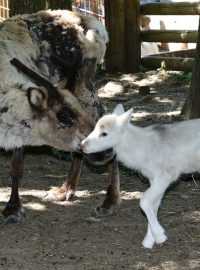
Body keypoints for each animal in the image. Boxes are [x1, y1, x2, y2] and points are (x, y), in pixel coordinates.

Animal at [80, 104, 200, 248]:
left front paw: (160, 236)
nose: (82, 145)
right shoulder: (153, 178)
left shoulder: (167, 174)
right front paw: (149, 241)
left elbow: (145, 200)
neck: (143, 148)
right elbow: (154, 205)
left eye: (104, 133)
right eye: (94, 128)